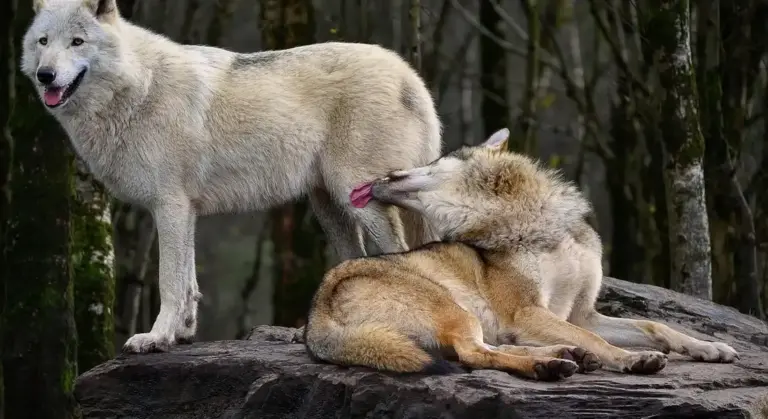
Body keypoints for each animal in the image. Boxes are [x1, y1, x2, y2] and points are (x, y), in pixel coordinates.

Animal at [21, 0, 441, 353]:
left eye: (77, 42)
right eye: (43, 41)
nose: (46, 76)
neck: (138, 88)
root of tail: (411, 76)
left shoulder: (170, 205)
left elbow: (170, 282)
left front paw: (155, 337)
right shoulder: (185, 211)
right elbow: (189, 282)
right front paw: (181, 334)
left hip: (362, 199)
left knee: (400, 255)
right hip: (331, 208)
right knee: (356, 261)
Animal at [304, 128, 738, 381]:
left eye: (432, 161)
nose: (381, 175)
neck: (530, 223)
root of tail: (315, 317)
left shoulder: (581, 312)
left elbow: (655, 326)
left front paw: (708, 348)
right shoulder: (528, 312)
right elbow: (600, 339)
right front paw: (632, 359)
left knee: (488, 350)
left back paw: (564, 355)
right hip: (455, 310)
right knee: (474, 355)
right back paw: (549, 365)